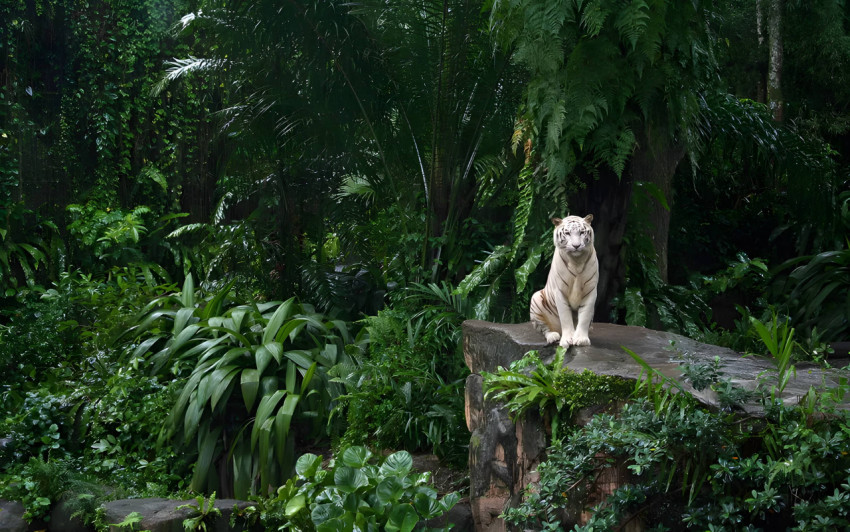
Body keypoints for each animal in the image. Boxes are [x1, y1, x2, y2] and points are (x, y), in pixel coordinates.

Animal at [529, 214, 598, 347]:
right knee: (544, 329)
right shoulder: (559, 291)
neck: (577, 262)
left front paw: (581, 339)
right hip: (536, 299)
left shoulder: (590, 291)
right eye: (567, 233)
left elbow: (585, 316)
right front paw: (567, 340)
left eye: (582, 232)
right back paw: (553, 336)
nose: (576, 246)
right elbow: (565, 317)